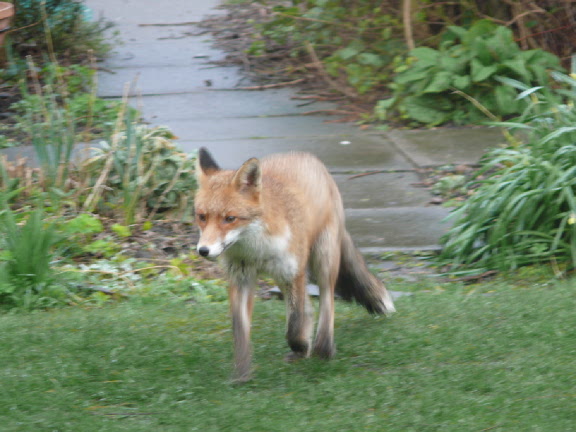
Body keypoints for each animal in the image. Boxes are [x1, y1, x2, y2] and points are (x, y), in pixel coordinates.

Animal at [194, 148, 396, 382]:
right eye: (202, 217)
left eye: (230, 218)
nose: (203, 250)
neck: (257, 250)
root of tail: (303, 155)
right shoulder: (242, 279)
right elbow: (240, 330)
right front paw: (242, 373)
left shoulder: (293, 272)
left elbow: (295, 323)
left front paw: (300, 347)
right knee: (309, 308)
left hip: (322, 259)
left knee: (327, 300)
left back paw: (324, 348)